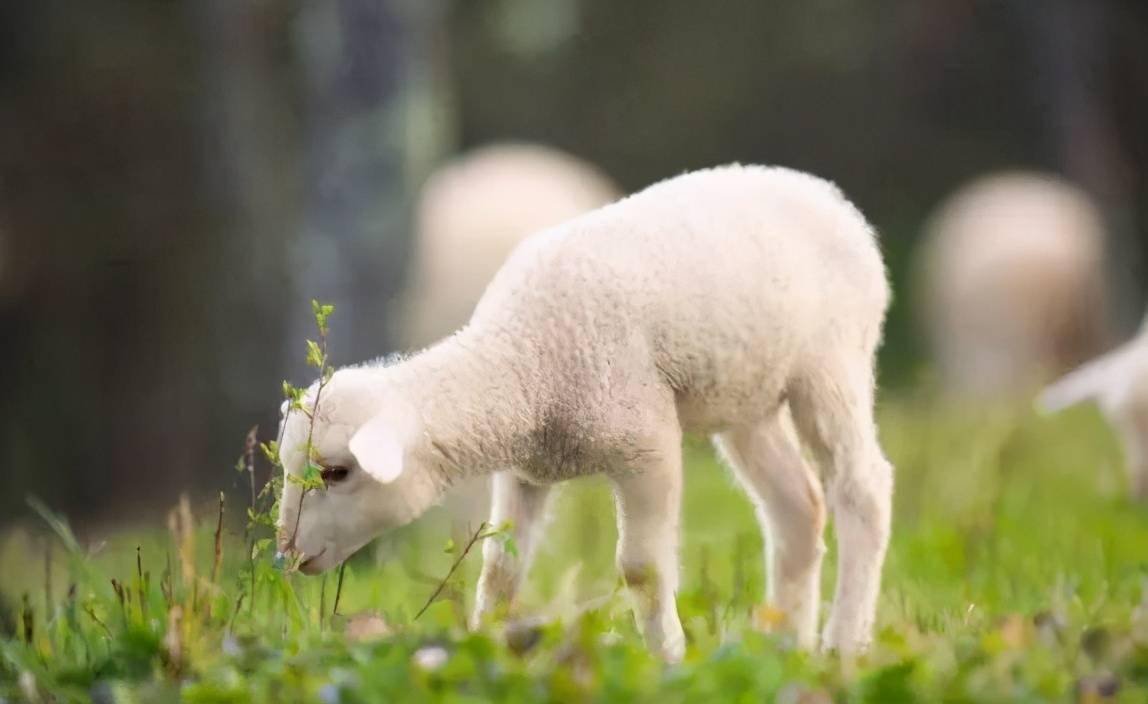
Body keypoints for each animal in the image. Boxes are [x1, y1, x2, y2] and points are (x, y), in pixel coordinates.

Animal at [273, 161, 890, 656]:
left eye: (336, 472)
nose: (288, 555)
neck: (523, 362)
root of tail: (827, 195)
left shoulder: (646, 443)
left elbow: (641, 572)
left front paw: (669, 660)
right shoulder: (525, 471)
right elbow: (500, 571)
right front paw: (485, 647)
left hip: (832, 362)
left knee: (862, 490)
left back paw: (843, 646)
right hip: (749, 397)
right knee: (798, 508)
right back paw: (785, 650)